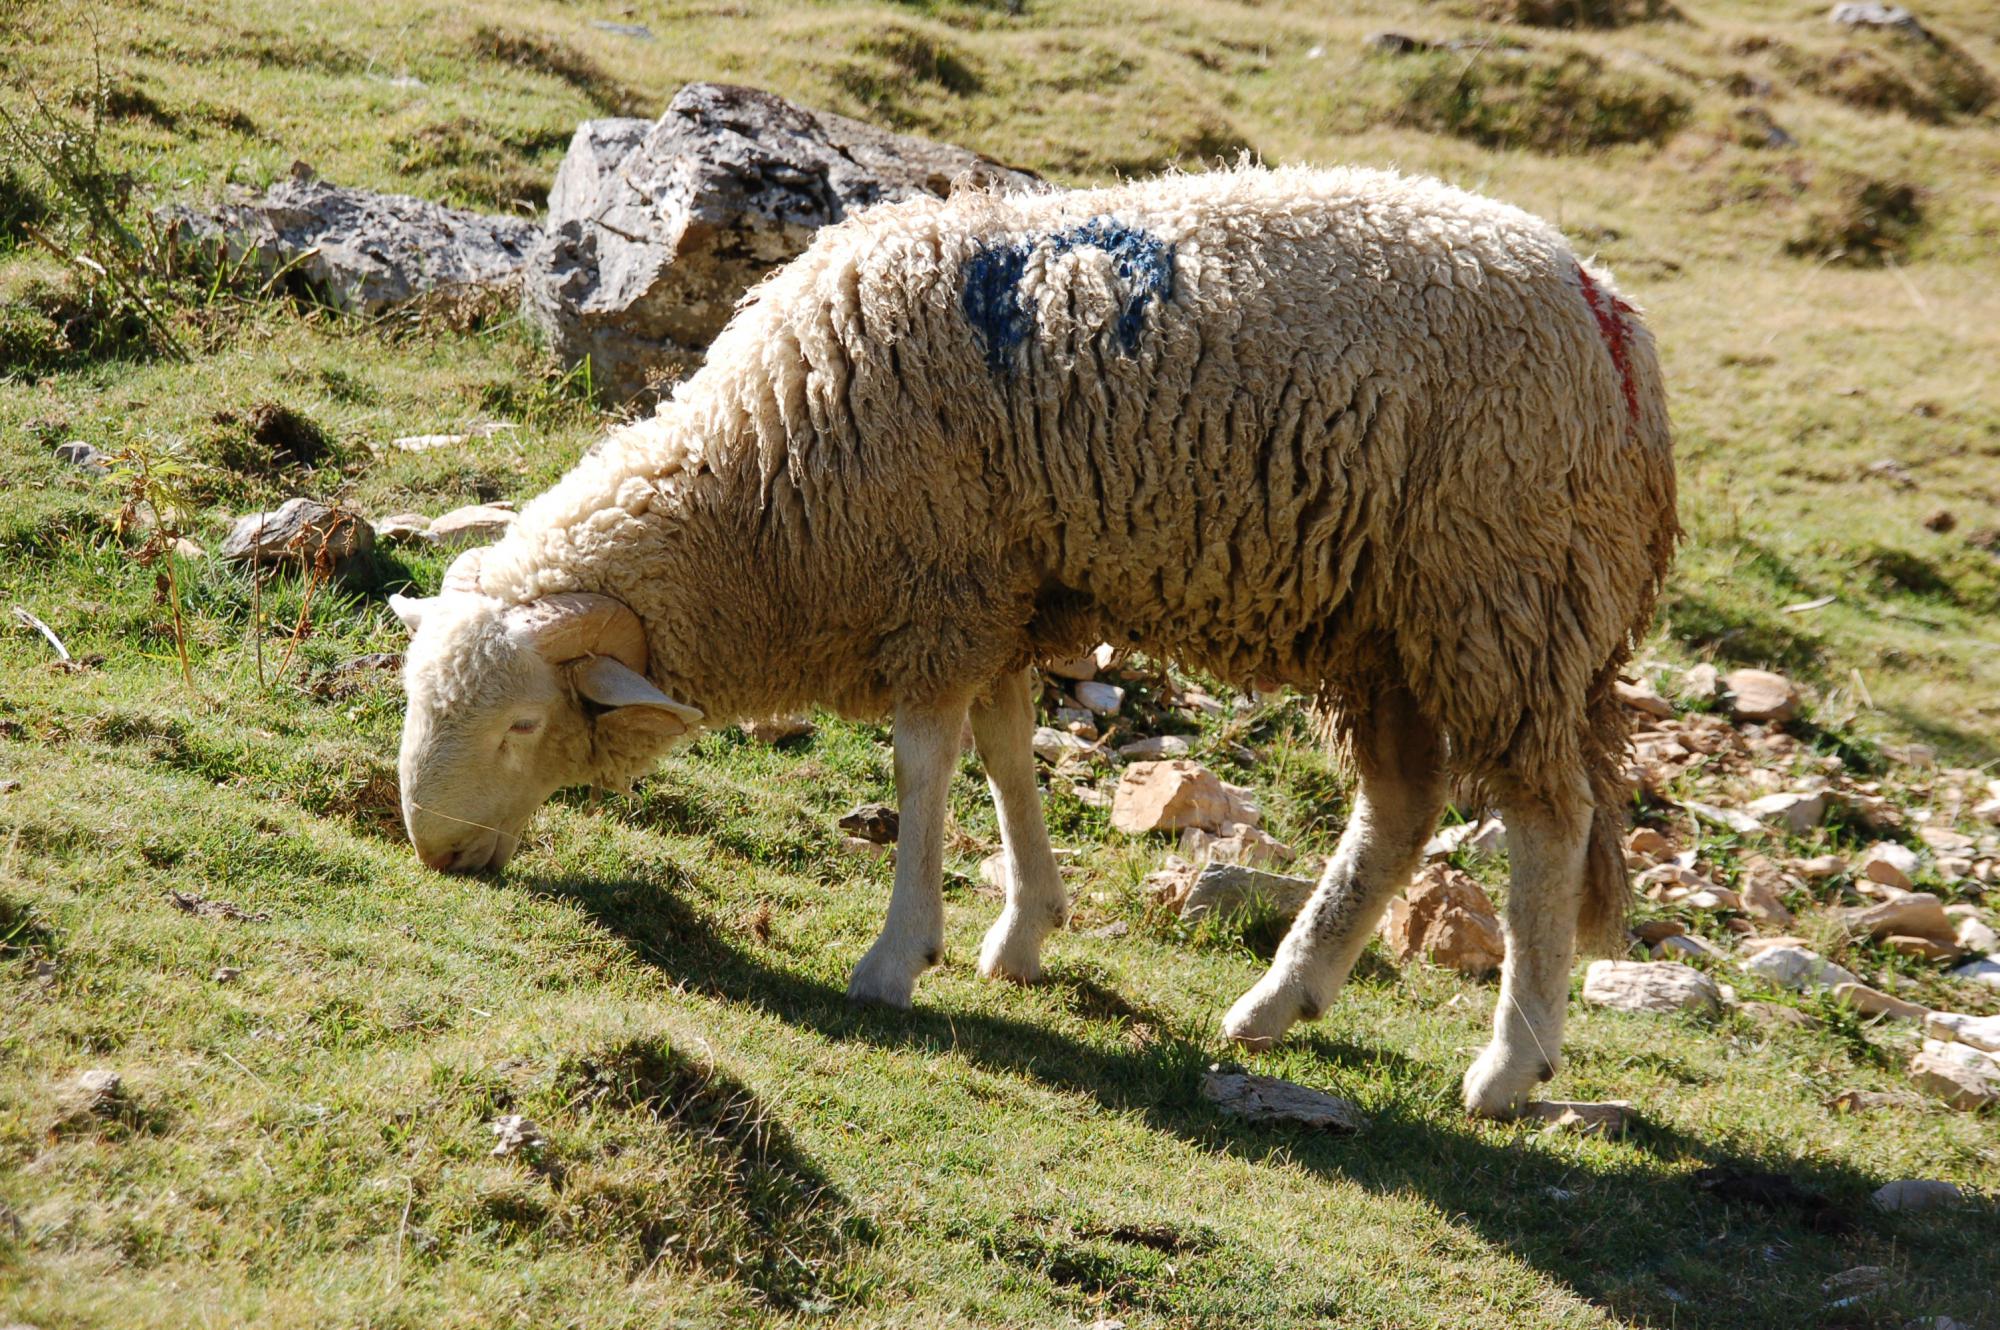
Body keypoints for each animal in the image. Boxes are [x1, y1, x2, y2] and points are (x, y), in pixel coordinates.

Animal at [390, 166, 1672, 1120]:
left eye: (520, 722)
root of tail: (1612, 320)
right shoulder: (996, 590)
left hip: (1501, 592)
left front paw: (895, 957)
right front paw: (1022, 931)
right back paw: (1276, 1003)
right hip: (1385, 625)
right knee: (1401, 808)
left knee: (1547, 822)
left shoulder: (940, 582)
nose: (436, 854)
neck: (763, 490)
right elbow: (1004, 750)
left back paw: (1506, 1068)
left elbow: (923, 764)